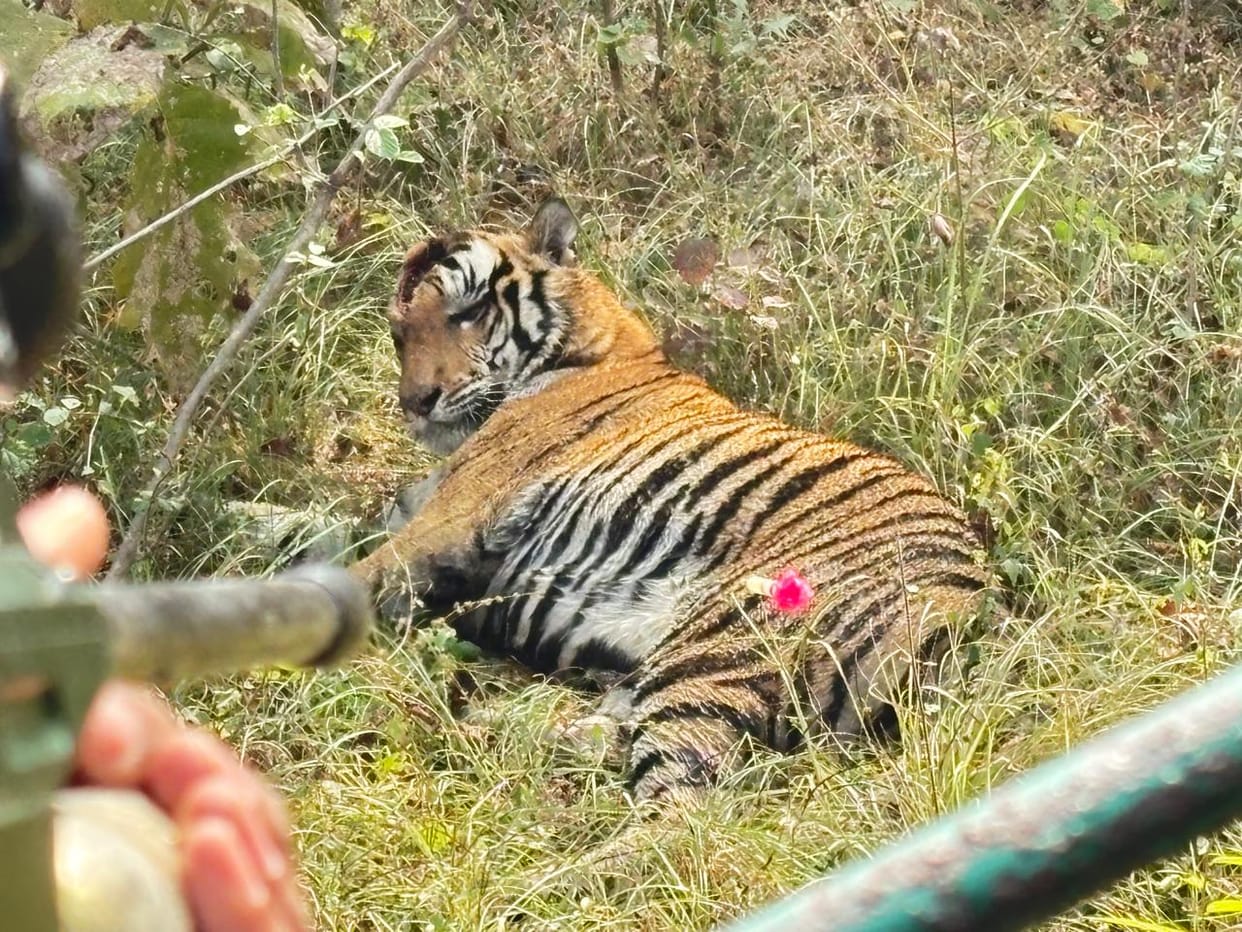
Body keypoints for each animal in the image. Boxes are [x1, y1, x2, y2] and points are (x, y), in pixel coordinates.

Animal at [351, 198, 992, 802]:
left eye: (468, 313)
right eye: (400, 337)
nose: (416, 403)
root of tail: (975, 613)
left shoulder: (452, 517)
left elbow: (359, 573)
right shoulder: (414, 510)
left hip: (725, 645)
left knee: (683, 810)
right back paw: (489, 724)